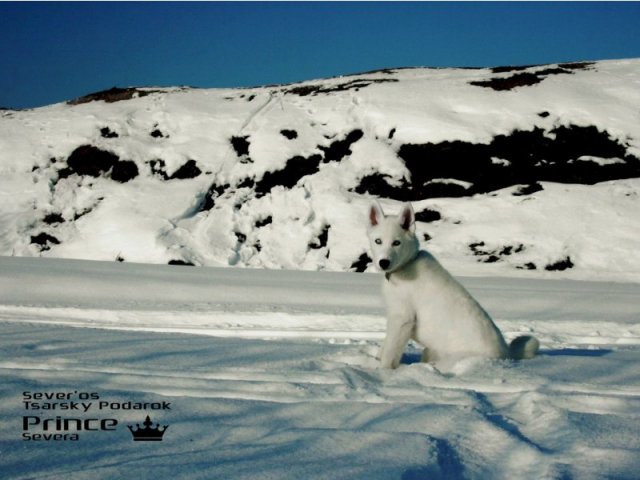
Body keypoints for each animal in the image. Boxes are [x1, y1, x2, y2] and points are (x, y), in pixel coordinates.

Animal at [367, 201, 539, 369]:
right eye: (378, 241)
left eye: (397, 243)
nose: (384, 262)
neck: (406, 266)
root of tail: (507, 356)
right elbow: (385, 345)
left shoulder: (403, 318)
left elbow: (389, 353)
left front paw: (381, 372)